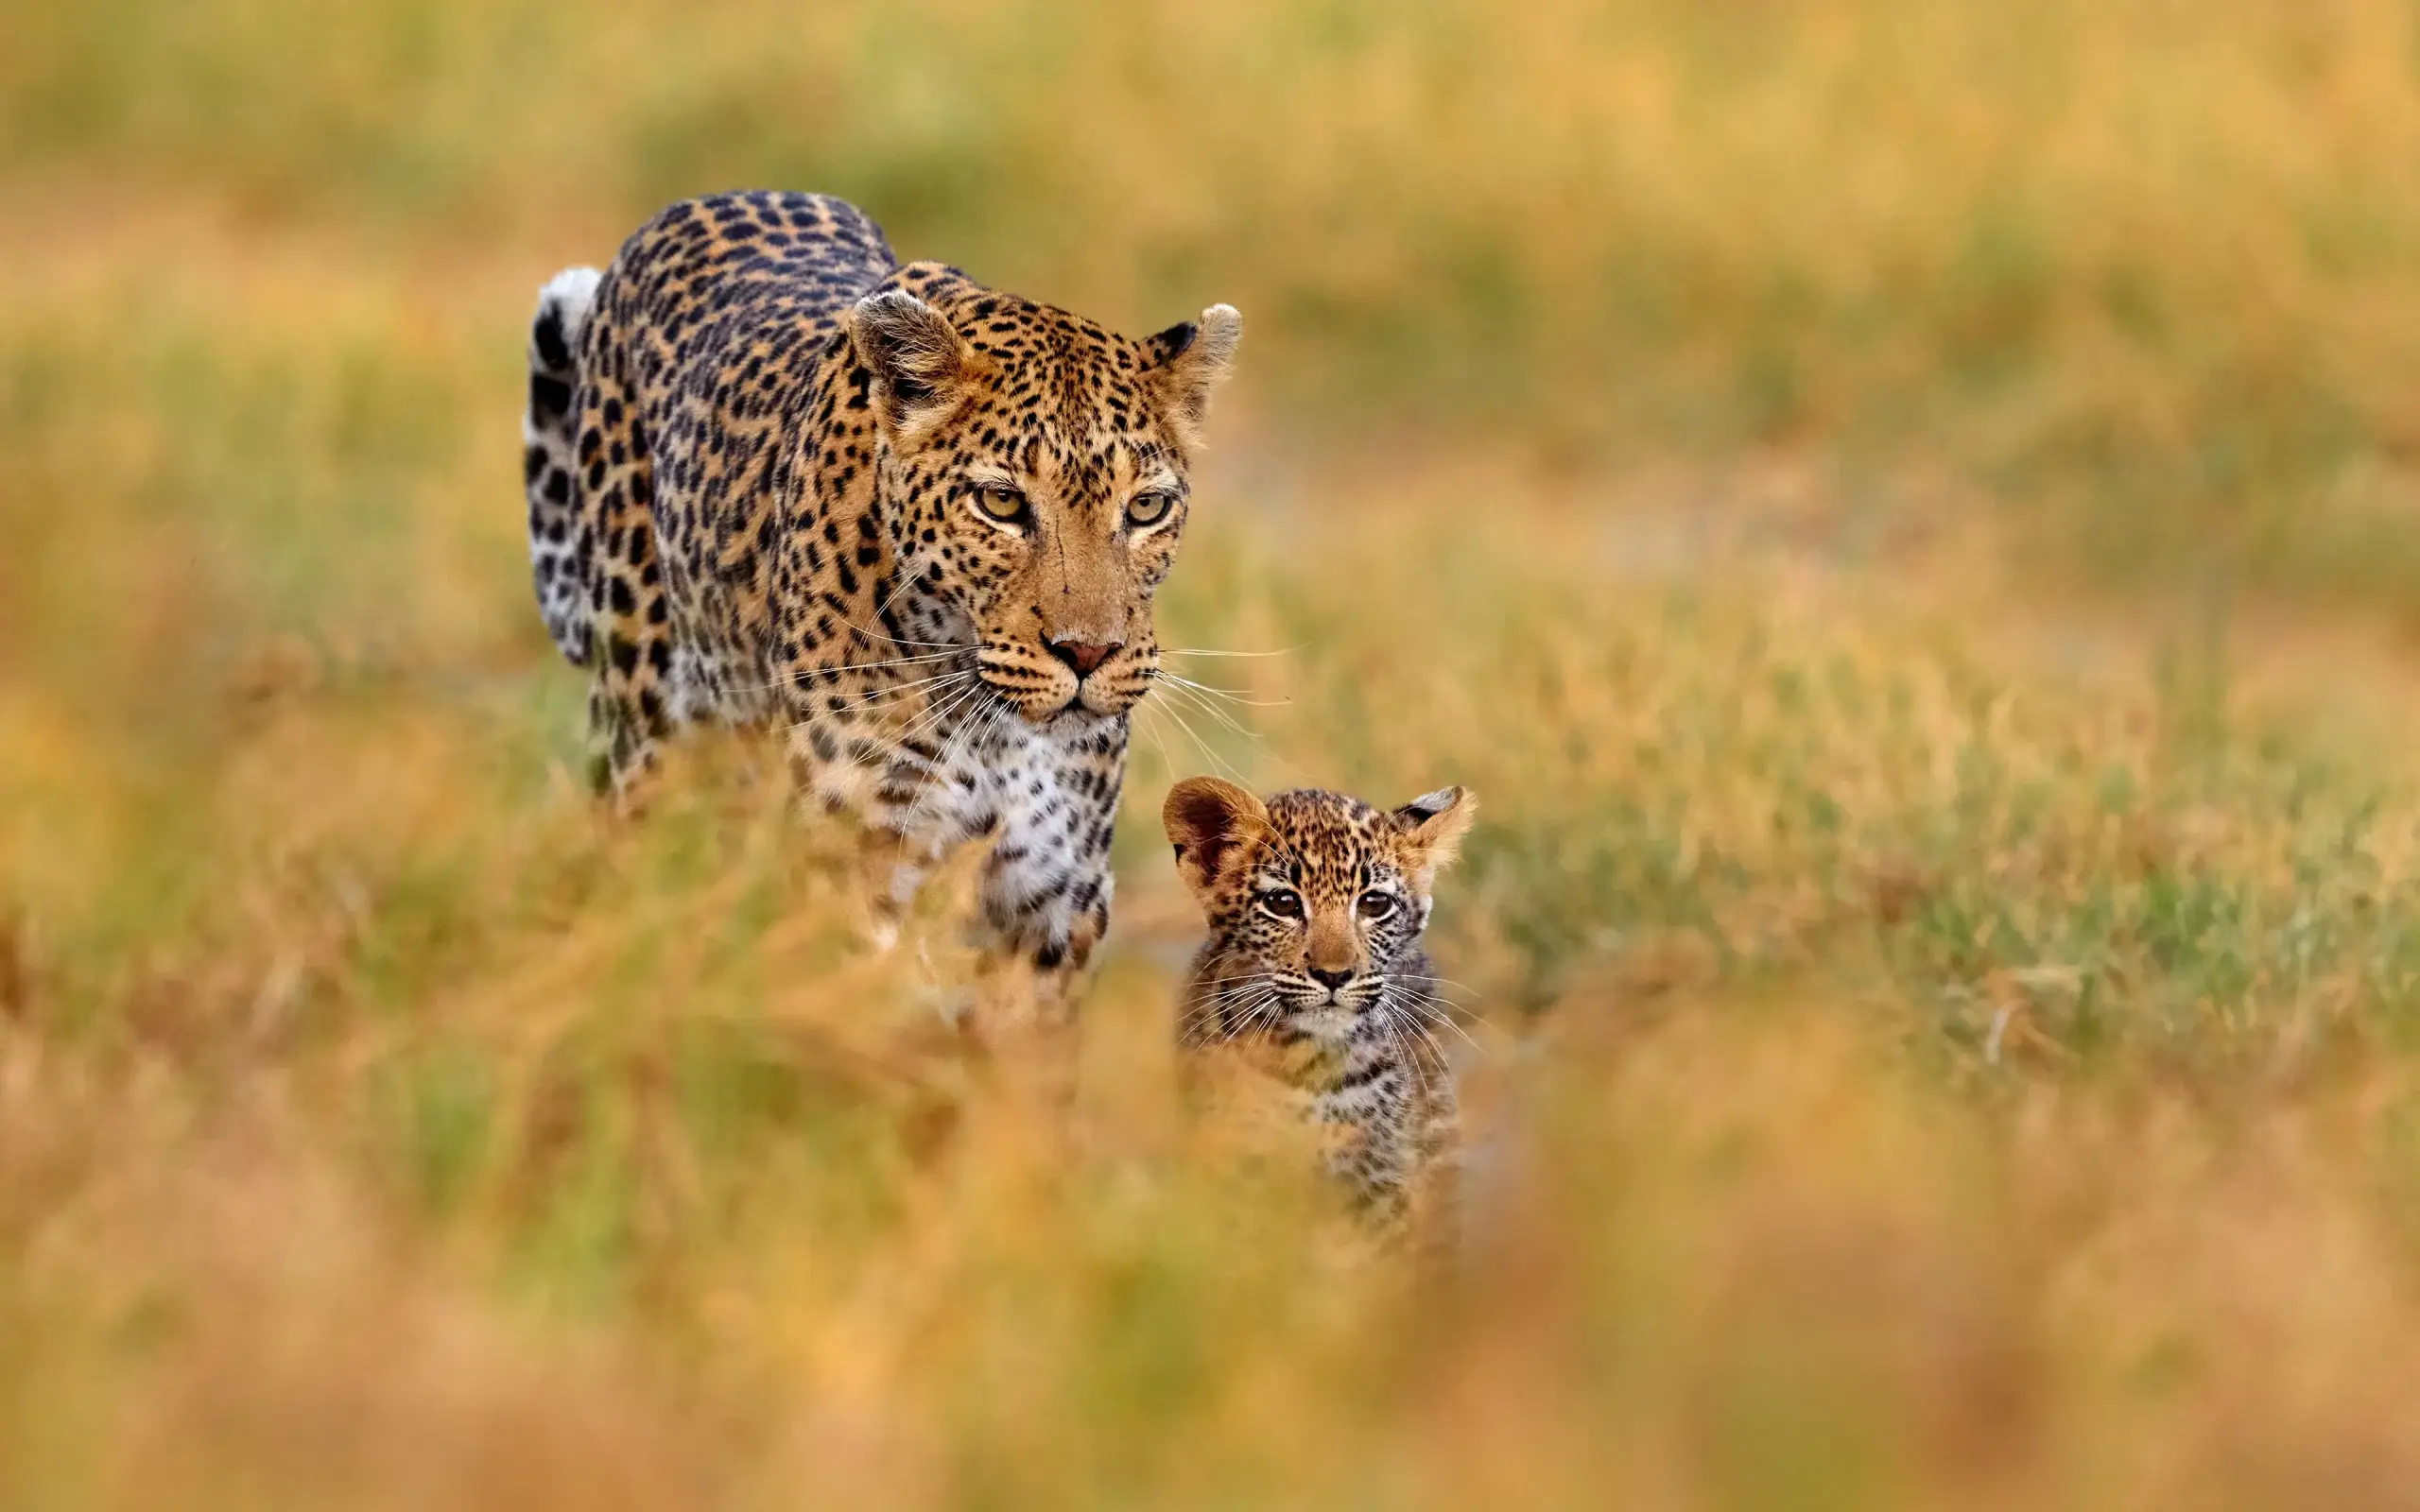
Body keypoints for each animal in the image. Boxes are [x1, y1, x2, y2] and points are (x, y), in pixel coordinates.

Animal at [520, 191, 1240, 1017]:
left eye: (1147, 508)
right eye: (1001, 503)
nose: (1088, 653)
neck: (994, 729)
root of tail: (698, 202)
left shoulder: (1055, 898)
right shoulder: (856, 863)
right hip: (641, 739)